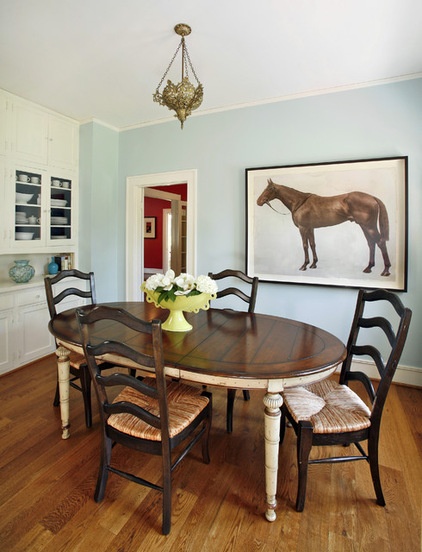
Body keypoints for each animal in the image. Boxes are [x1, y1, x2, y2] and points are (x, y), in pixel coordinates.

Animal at [258, 179, 392, 276]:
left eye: (269, 189)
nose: (258, 201)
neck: (300, 202)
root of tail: (372, 197)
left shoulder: (302, 228)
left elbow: (305, 245)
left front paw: (304, 265)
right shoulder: (310, 228)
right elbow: (312, 244)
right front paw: (313, 264)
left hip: (369, 226)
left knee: (380, 242)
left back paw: (385, 271)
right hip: (364, 226)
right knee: (371, 243)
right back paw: (369, 267)